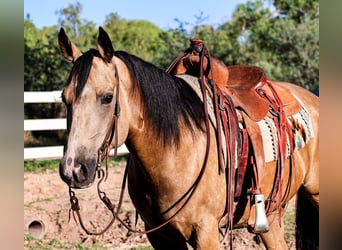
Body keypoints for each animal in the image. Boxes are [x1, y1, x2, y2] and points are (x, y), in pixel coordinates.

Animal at [58, 26, 318, 249]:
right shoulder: (159, 236)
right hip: (270, 218)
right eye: (63, 97)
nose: (73, 169)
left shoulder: (206, 233)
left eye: (107, 97)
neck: (172, 152)